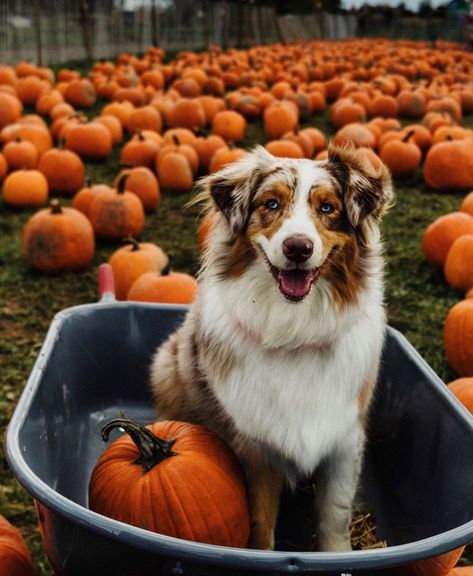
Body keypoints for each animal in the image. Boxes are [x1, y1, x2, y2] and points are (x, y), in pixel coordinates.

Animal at [149, 142, 392, 552]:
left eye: (328, 208)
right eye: (271, 204)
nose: (297, 248)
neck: (294, 330)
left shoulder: (346, 439)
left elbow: (335, 515)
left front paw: (340, 555)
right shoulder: (256, 447)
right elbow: (260, 524)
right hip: (166, 365)